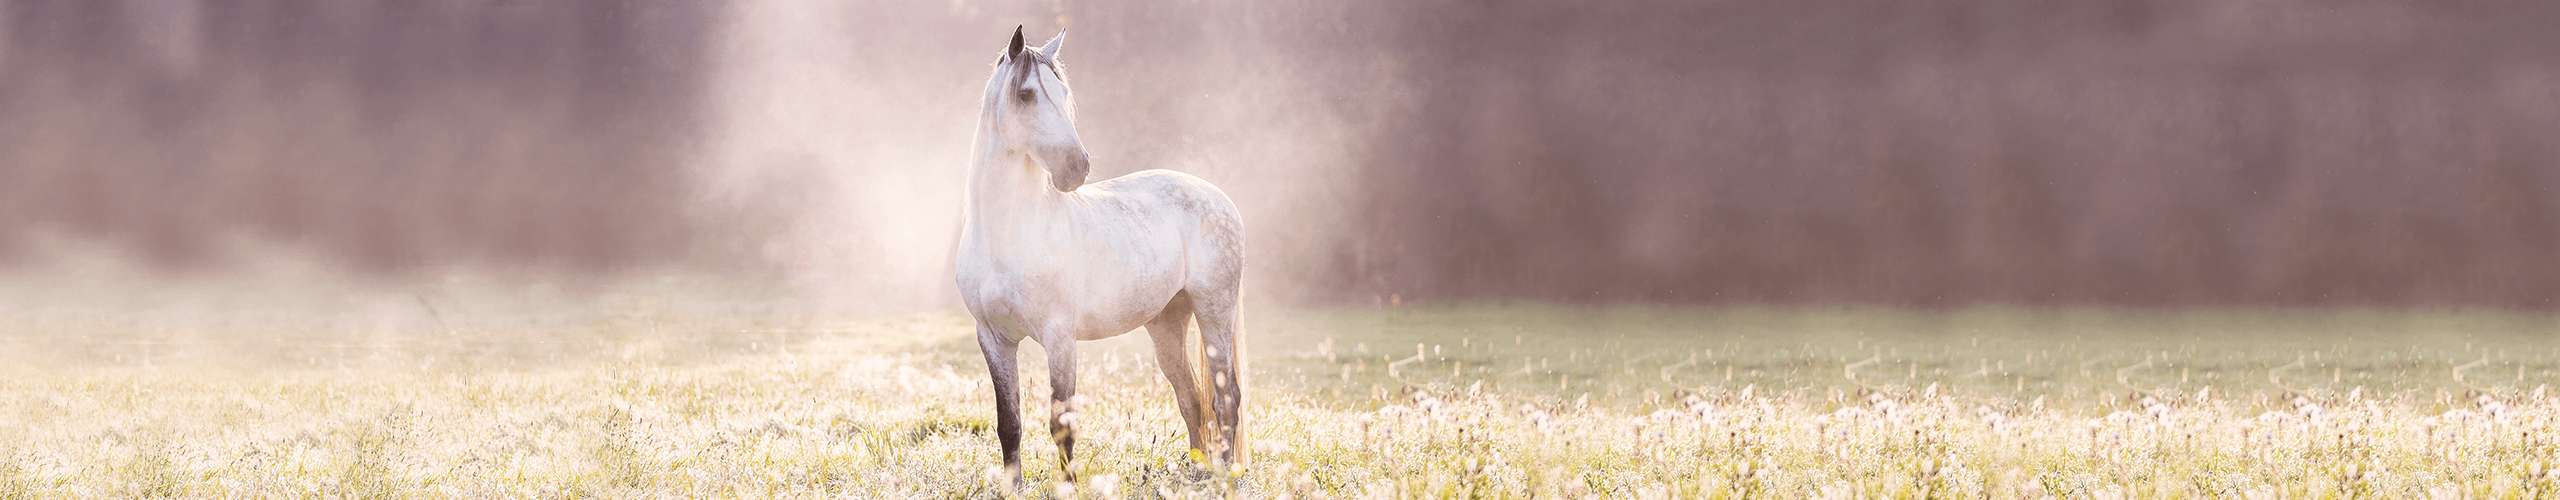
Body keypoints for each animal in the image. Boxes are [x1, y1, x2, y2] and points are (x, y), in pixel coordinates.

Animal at [957, 27, 1244, 484]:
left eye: (1063, 92)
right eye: (1026, 94)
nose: (1077, 167)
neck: (1007, 232)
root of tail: (1217, 195)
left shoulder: (1059, 338)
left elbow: (1061, 423)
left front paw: (1068, 486)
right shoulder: (994, 340)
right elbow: (1009, 423)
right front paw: (1012, 487)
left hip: (1215, 312)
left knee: (1225, 396)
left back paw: (1223, 475)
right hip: (1167, 323)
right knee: (1191, 396)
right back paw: (1198, 471)